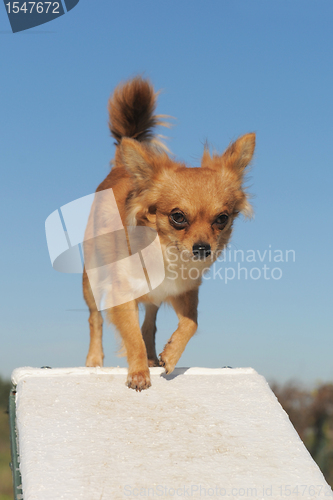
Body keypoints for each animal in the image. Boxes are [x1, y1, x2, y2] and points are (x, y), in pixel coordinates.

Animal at [82, 77, 254, 390]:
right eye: (177, 217)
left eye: (222, 219)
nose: (202, 248)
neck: (166, 253)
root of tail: (120, 167)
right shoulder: (122, 293)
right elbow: (131, 336)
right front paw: (138, 372)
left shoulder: (185, 292)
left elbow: (191, 323)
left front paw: (170, 355)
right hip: (92, 280)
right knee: (95, 319)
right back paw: (94, 359)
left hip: (152, 296)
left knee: (149, 323)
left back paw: (153, 355)